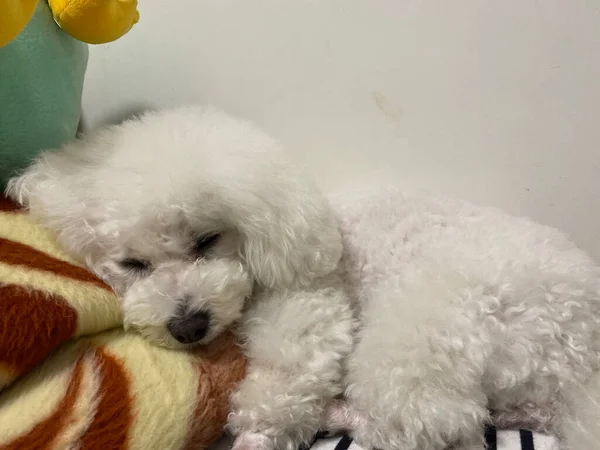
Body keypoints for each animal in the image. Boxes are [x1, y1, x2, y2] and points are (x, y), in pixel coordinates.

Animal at [7, 107, 600, 450]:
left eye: (207, 240)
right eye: (131, 264)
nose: (189, 327)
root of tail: (579, 354)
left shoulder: (310, 302)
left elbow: (285, 374)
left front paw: (261, 430)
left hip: (426, 324)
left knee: (427, 423)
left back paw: (341, 414)